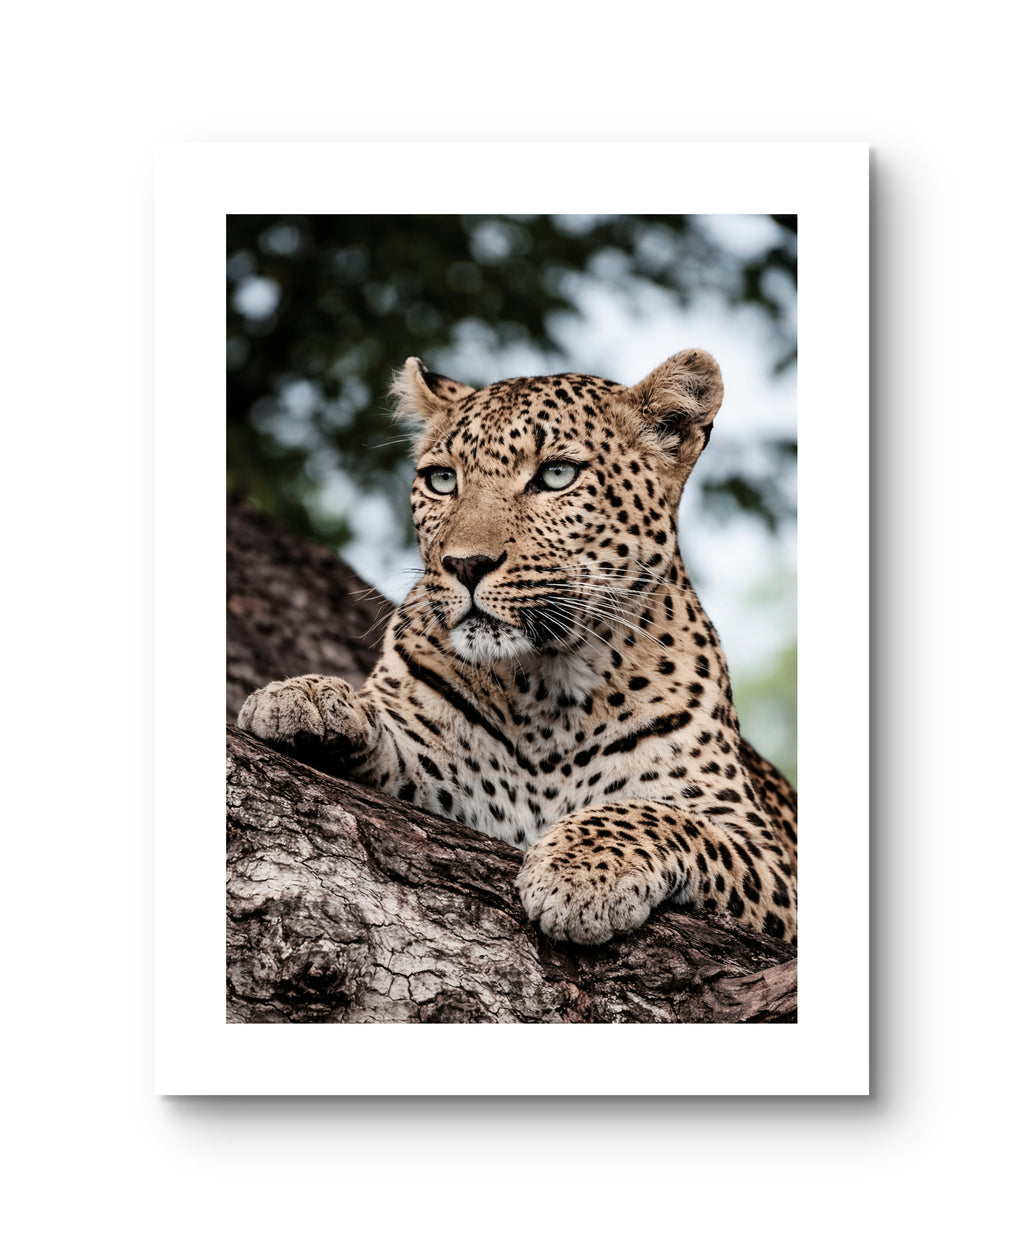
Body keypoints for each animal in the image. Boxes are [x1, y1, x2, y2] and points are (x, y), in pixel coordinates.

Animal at [238, 349, 798, 945]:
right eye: (442, 480)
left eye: (556, 474)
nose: (465, 564)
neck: (549, 687)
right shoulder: (439, 772)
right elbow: (391, 733)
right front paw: (309, 699)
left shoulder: (763, 852)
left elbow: (658, 815)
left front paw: (581, 871)